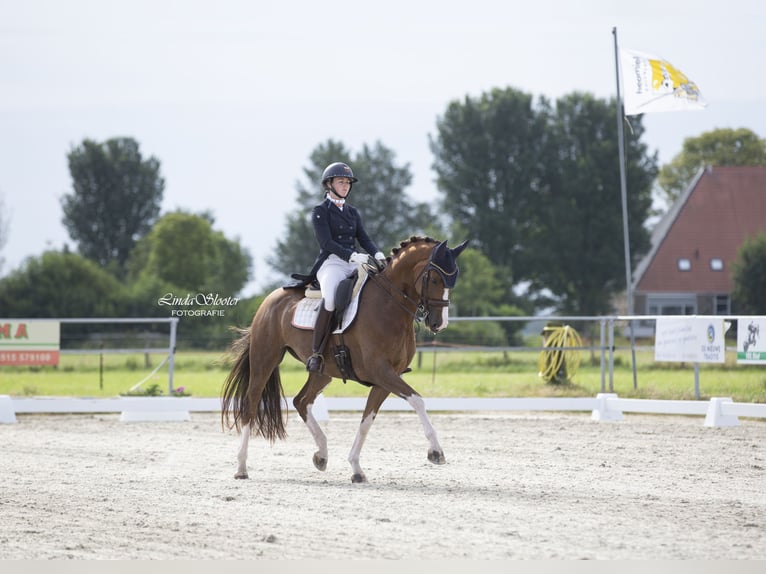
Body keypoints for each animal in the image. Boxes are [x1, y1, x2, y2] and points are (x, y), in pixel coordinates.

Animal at [222, 236, 472, 484]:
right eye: (435, 279)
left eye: (453, 280)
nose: (439, 324)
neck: (389, 305)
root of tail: (270, 299)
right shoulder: (381, 371)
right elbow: (418, 401)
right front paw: (436, 452)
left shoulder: (385, 379)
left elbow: (367, 421)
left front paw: (356, 468)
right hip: (265, 359)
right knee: (251, 404)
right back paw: (241, 467)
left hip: (322, 372)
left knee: (301, 401)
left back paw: (321, 455)